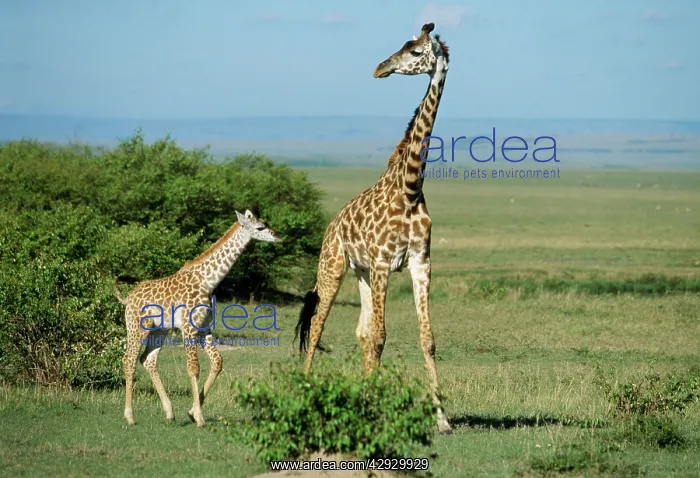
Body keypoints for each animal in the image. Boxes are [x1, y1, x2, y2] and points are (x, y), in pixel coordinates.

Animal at [115, 209, 282, 427]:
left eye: (266, 223)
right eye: (260, 227)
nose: (278, 237)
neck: (207, 282)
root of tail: (127, 298)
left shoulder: (204, 328)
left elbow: (217, 362)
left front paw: (192, 412)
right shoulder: (189, 327)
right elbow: (193, 368)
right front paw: (200, 418)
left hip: (159, 330)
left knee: (148, 360)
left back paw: (169, 413)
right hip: (137, 327)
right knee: (129, 359)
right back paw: (130, 416)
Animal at [295, 23, 452, 434]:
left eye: (416, 52)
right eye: (404, 45)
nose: (381, 68)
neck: (409, 189)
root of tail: (331, 225)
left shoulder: (419, 263)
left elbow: (427, 339)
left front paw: (442, 419)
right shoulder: (384, 263)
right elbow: (381, 338)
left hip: (362, 273)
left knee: (361, 333)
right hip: (333, 267)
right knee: (317, 325)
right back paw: (306, 389)